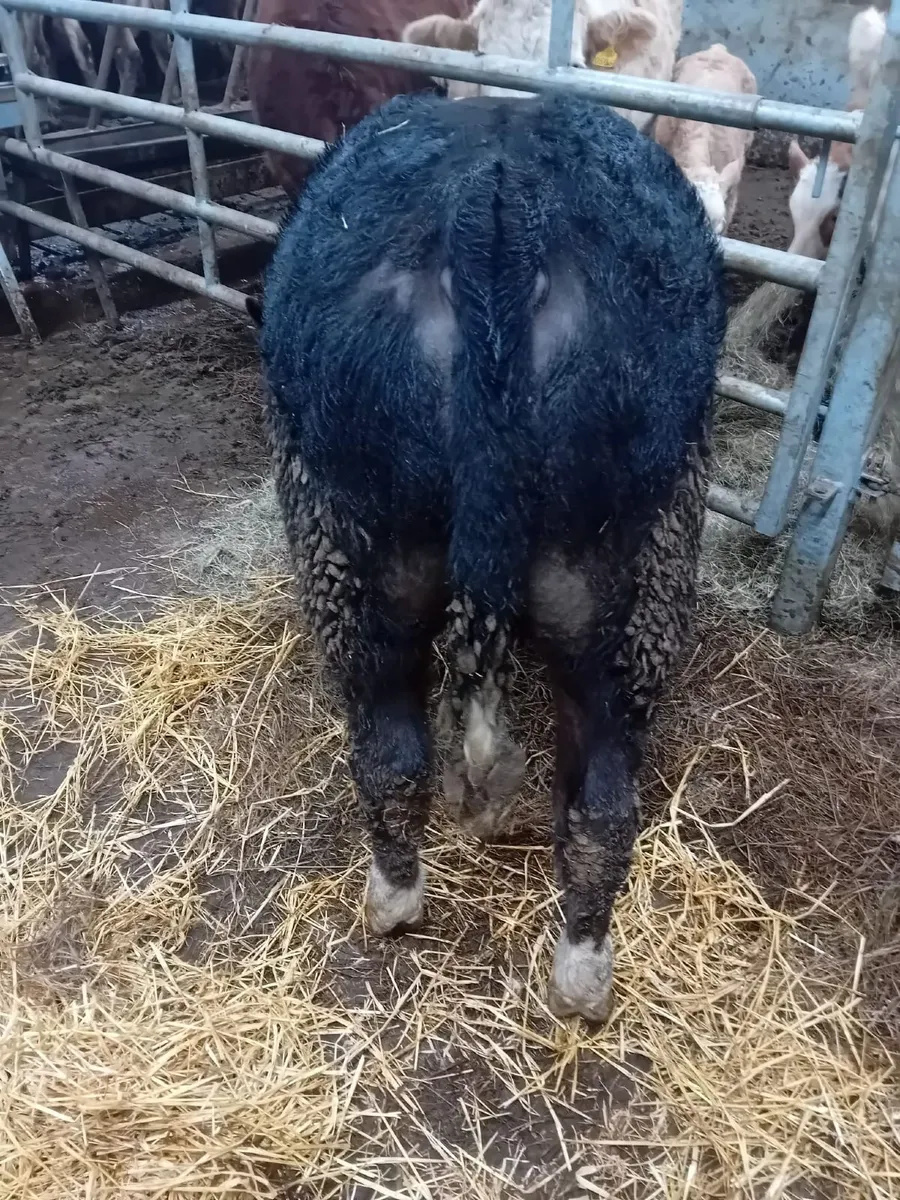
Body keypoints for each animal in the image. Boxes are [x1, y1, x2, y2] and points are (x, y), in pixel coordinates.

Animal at [256, 91, 726, 1022]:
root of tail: (492, 198)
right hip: (597, 563)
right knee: (592, 797)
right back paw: (570, 967)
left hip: (355, 532)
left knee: (400, 751)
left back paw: (411, 905)